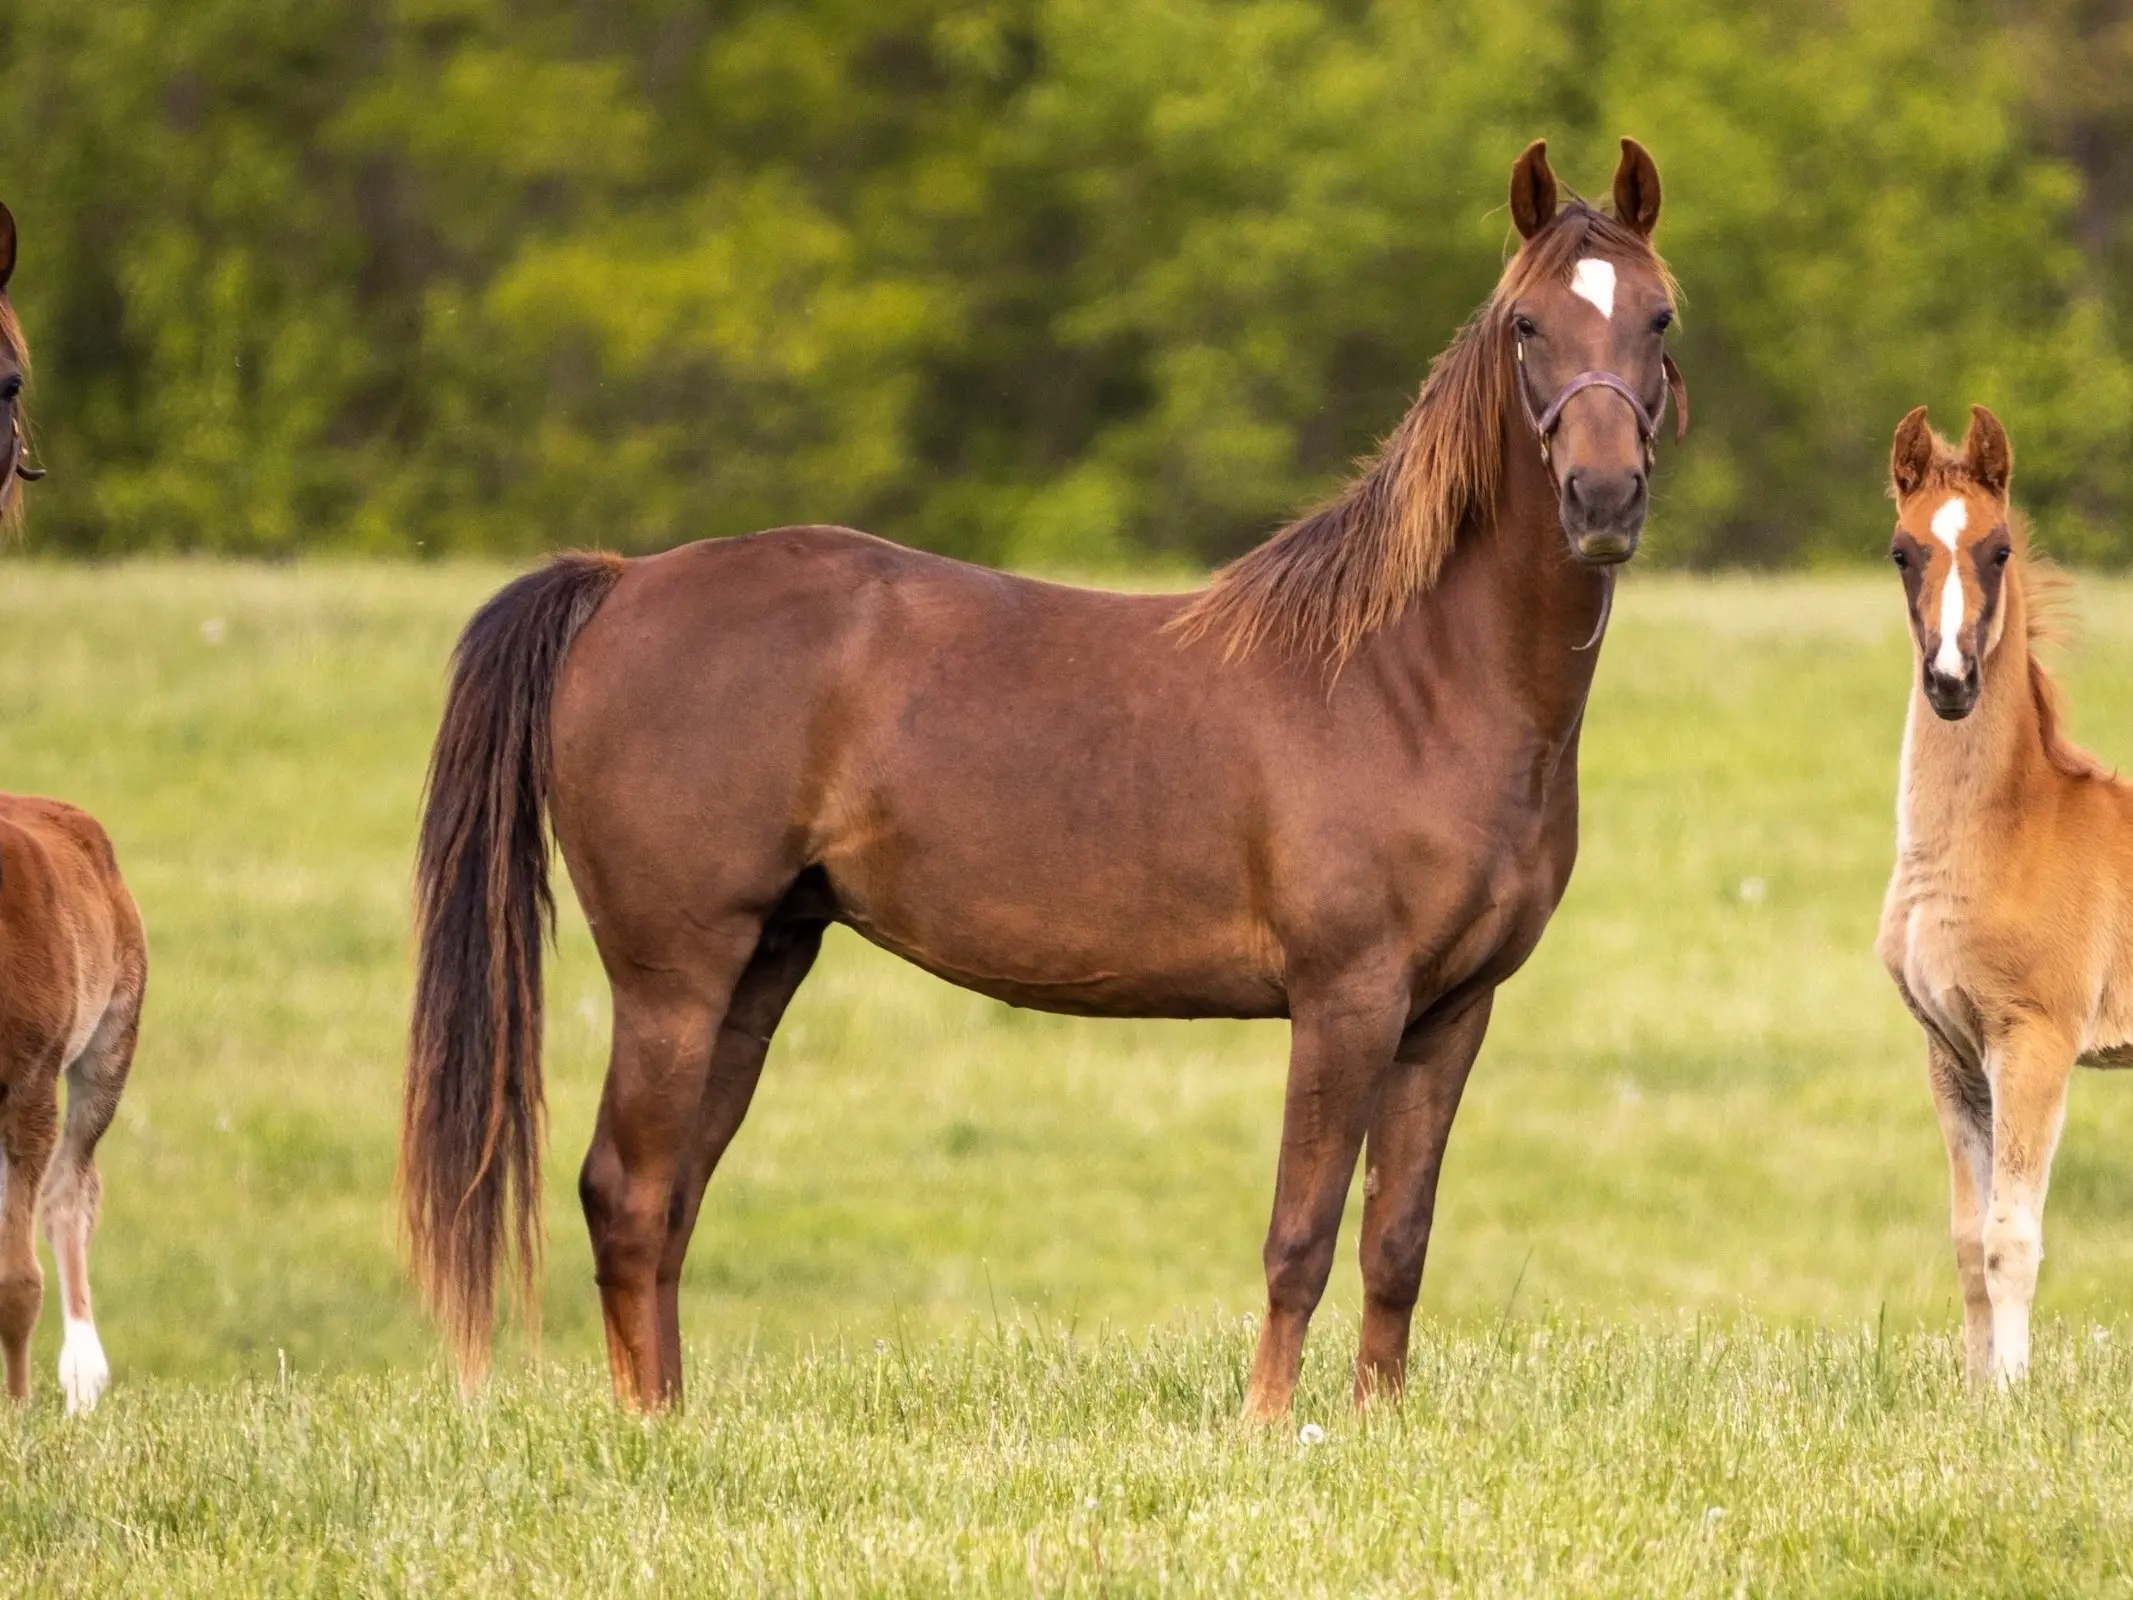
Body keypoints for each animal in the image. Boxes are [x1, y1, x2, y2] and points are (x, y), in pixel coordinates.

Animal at [401, 137, 1689, 1416]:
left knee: (671, 1198)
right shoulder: (1347, 998)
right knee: (627, 1190)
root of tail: (622, 584)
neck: (1409, 677)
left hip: (761, 962)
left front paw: (1375, 1423)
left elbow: (1397, 1242)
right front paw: (1268, 1427)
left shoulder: (1451, 1012)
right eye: (1526, 324)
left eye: (1661, 317)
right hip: (674, 971)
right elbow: (1302, 1235)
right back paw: (652, 1432)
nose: (1602, 499)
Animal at [1885, 407, 2133, 1382]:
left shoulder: (2034, 1040)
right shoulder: (1951, 1053)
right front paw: (1974, 1393)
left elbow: (2011, 1238)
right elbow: (1965, 1240)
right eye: (1901, 551)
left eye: (1996, 551)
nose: (1951, 682)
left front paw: (2016, 1395)